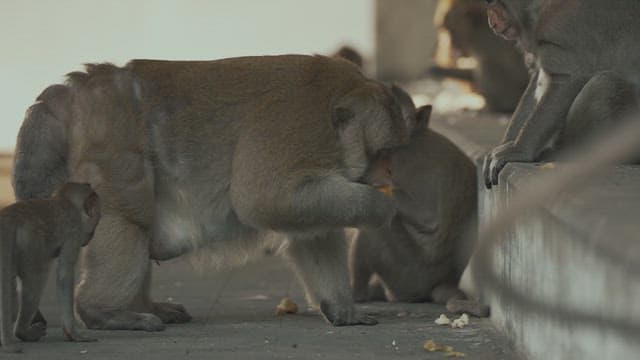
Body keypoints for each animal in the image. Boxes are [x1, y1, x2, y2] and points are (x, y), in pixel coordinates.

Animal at [0, 183, 99, 352]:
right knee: (35, 283)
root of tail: (9, 218)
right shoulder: (74, 232)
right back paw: (22, 332)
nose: (89, 239)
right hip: (31, 246)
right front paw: (73, 333)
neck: (66, 201)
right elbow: (64, 276)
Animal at [13, 55, 416, 330]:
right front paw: (381, 206)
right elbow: (262, 198)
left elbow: (312, 232)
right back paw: (104, 312)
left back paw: (143, 305)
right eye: (382, 153)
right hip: (111, 142)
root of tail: (78, 90)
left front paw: (341, 308)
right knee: (130, 217)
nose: (391, 172)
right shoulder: (298, 131)